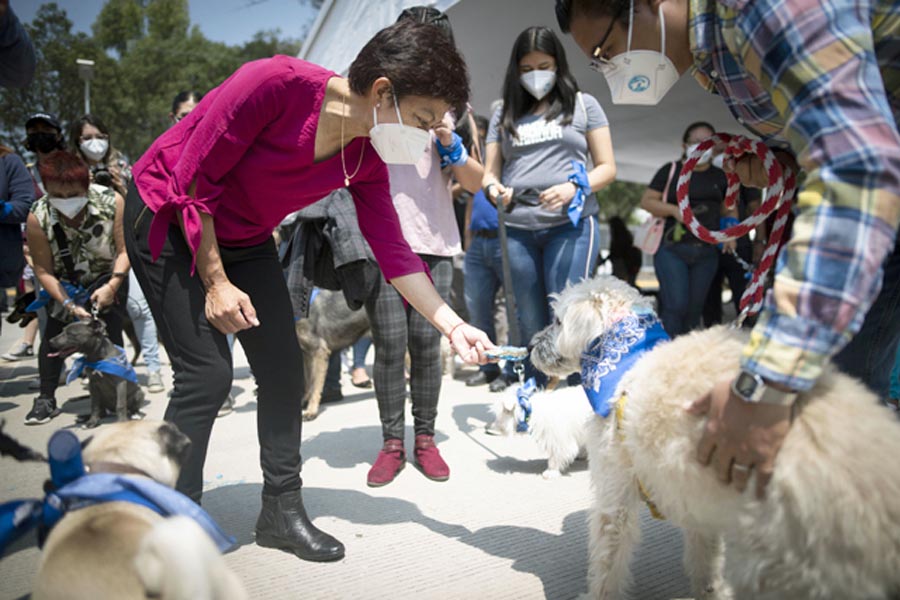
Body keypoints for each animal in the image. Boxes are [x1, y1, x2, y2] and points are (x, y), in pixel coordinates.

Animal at [532, 276, 900, 600]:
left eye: (558, 320)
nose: (532, 344)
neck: (626, 357)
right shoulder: (697, 500)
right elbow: (705, 561)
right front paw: (709, 591)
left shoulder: (615, 496)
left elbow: (607, 563)